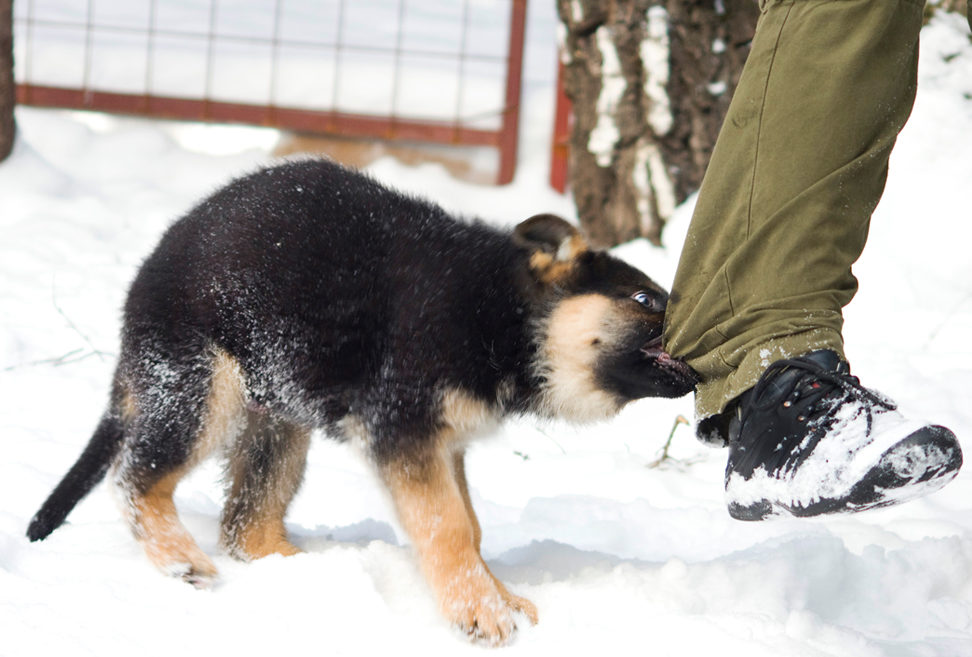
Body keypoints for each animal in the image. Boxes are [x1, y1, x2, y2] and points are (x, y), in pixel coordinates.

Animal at [26, 160, 696, 644]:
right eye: (643, 299)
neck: (502, 312)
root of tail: (147, 273)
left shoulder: (444, 443)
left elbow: (471, 526)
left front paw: (496, 595)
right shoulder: (406, 431)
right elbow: (449, 525)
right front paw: (479, 609)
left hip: (278, 417)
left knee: (246, 523)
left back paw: (308, 571)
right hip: (200, 391)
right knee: (135, 475)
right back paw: (178, 558)